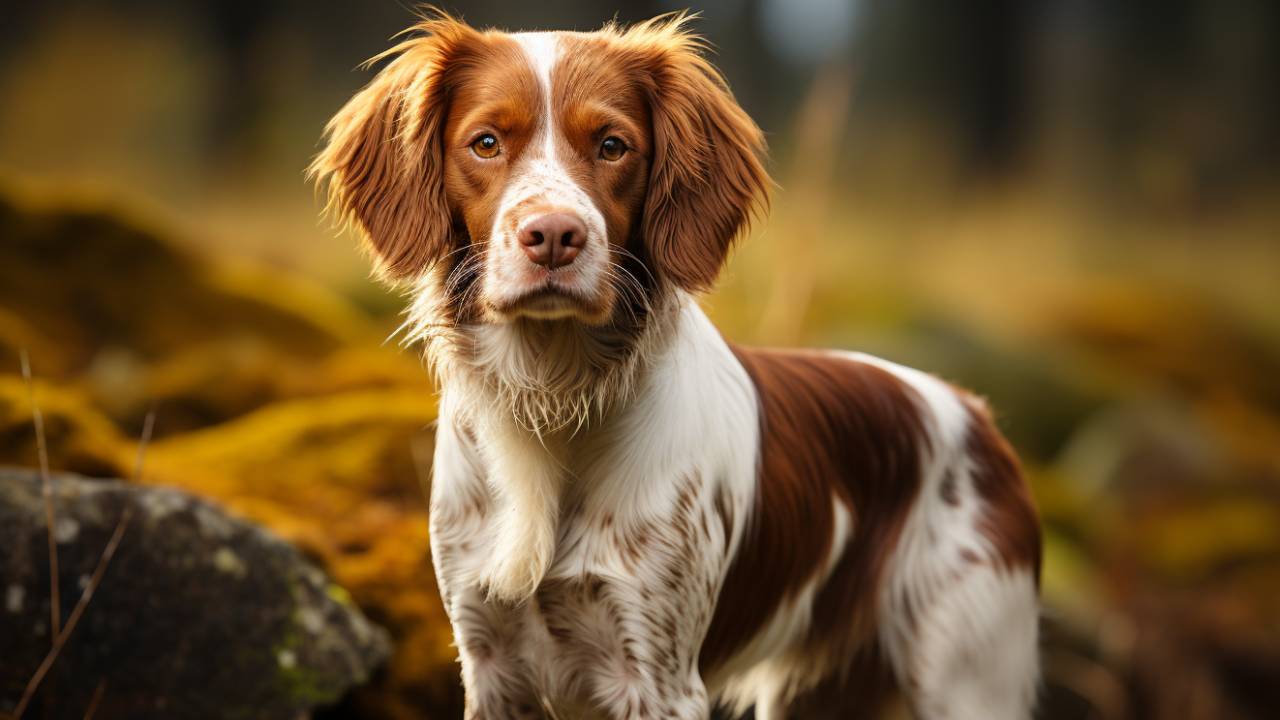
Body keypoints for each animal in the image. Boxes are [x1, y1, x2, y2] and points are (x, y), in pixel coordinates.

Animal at [309, 11, 1039, 717]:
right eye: (485, 142)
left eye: (612, 145)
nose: (554, 236)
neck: (552, 396)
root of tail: (973, 412)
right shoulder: (490, 662)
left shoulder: (658, 675)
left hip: (968, 680)